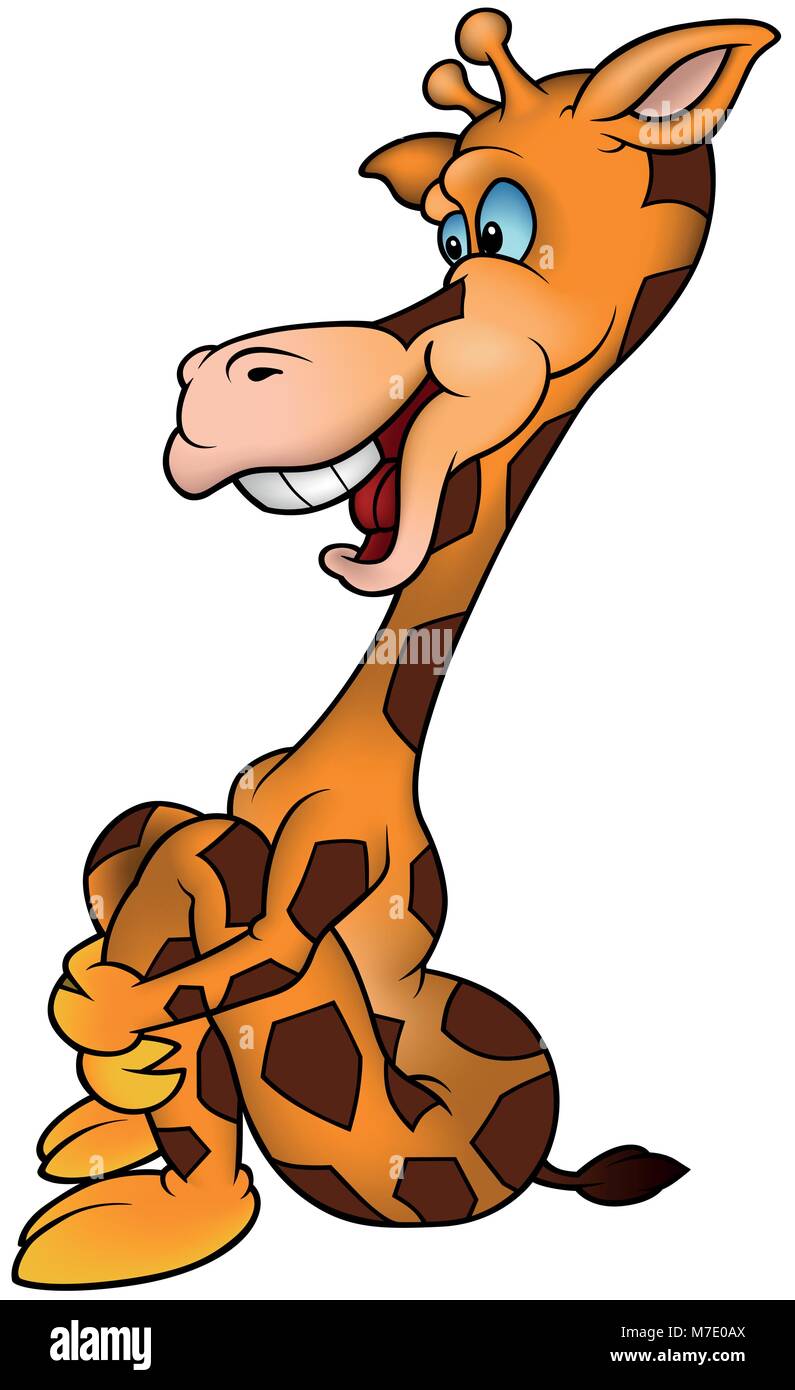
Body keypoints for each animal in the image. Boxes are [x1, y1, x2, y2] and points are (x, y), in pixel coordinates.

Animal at [14, 10, 778, 1288]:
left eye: (506, 229)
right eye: (447, 236)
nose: (215, 382)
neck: (350, 748)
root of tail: (535, 1157)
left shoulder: (316, 883)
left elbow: (243, 958)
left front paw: (107, 1037)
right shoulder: (236, 808)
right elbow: (142, 885)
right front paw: (101, 1052)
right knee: (155, 831)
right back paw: (102, 1148)